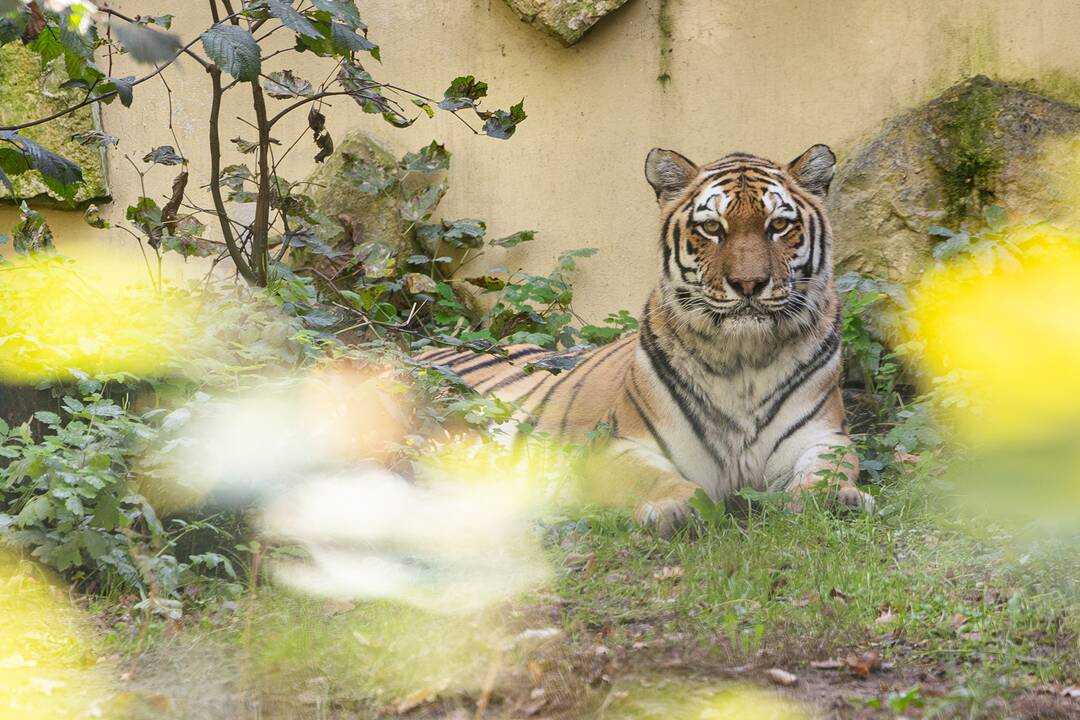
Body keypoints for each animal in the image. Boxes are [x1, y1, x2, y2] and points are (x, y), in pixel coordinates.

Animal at [416, 143, 872, 535]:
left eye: (778, 225)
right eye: (712, 228)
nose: (748, 284)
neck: (743, 359)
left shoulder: (822, 438)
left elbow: (826, 473)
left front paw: (836, 499)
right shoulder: (620, 446)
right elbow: (658, 482)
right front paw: (676, 510)